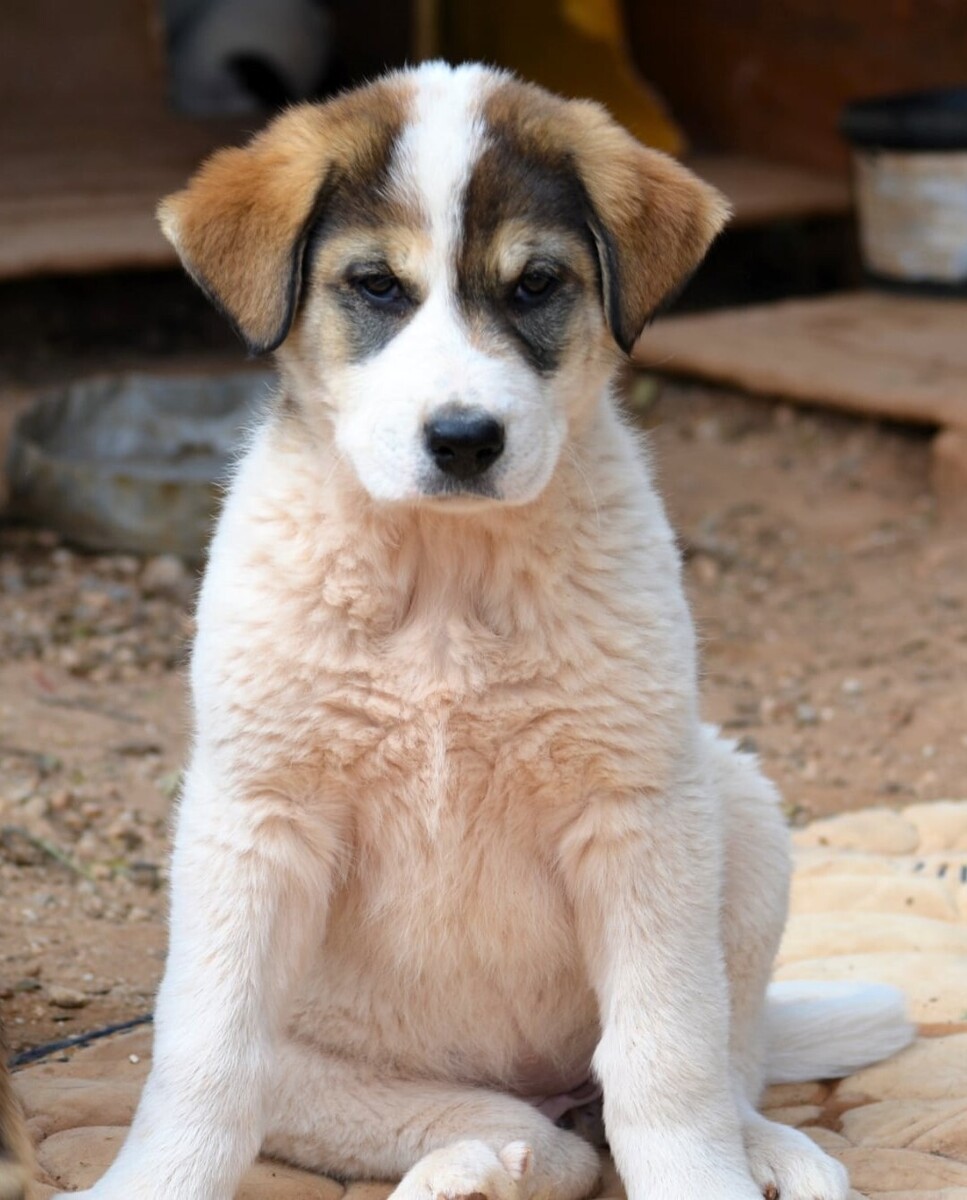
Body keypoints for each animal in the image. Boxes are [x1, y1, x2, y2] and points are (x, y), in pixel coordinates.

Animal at [61, 62, 913, 1200]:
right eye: (377, 287)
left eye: (535, 286)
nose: (464, 439)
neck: (442, 577)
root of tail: (538, 1087)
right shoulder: (255, 818)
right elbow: (202, 1063)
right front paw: (152, 1183)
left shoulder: (636, 815)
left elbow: (667, 1061)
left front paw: (705, 1180)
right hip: (320, 1071)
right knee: (528, 1138)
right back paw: (475, 1166)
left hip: (733, 805)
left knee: (714, 1071)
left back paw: (771, 1153)